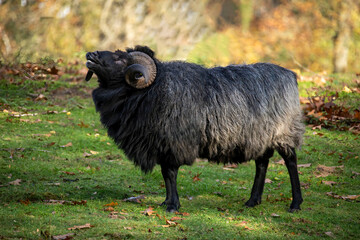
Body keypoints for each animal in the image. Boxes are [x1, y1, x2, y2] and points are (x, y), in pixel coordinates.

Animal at [86, 46, 306, 213]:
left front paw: (173, 205)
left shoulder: (174, 142)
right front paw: (166, 202)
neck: (152, 89)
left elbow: (170, 173)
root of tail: (289, 75)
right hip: (261, 136)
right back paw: (253, 201)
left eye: (120, 59)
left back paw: (295, 204)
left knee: (290, 161)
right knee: (262, 163)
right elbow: (165, 174)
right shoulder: (161, 143)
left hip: (284, 131)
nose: (91, 55)